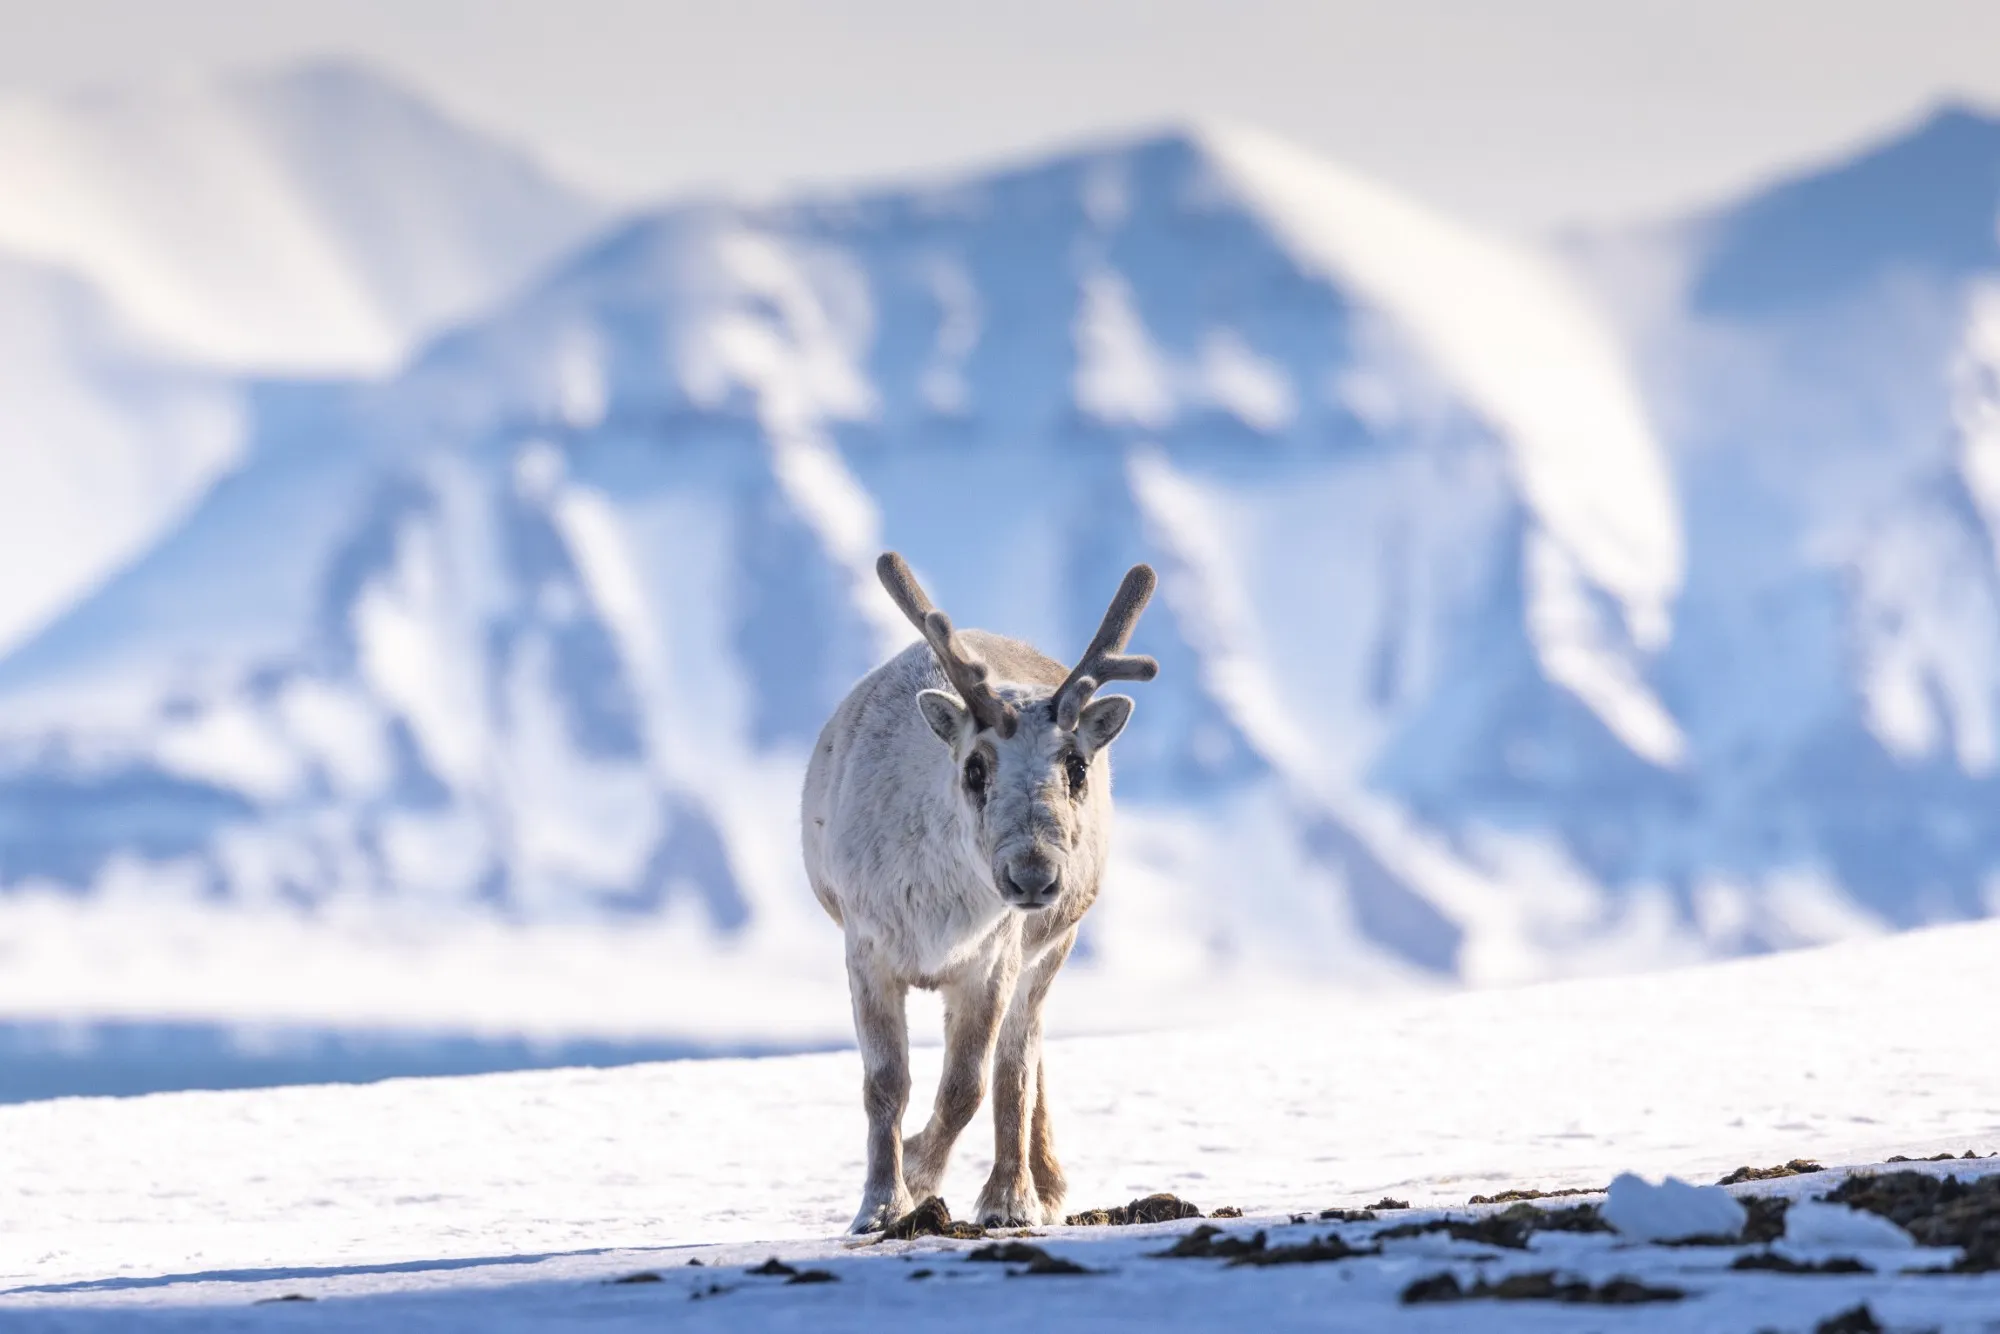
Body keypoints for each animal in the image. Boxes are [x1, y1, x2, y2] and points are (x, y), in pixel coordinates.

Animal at [801, 552, 1158, 1231]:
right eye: (975, 766)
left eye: (1076, 766)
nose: (1034, 874)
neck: (939, 910)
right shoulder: (867, 950)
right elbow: (885, 1084)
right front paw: (880, 1205)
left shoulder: (992, 958)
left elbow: (970, 1086)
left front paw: (927, 1174)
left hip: (1051, 945)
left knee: (1019, 1062)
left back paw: (1023, 1194)